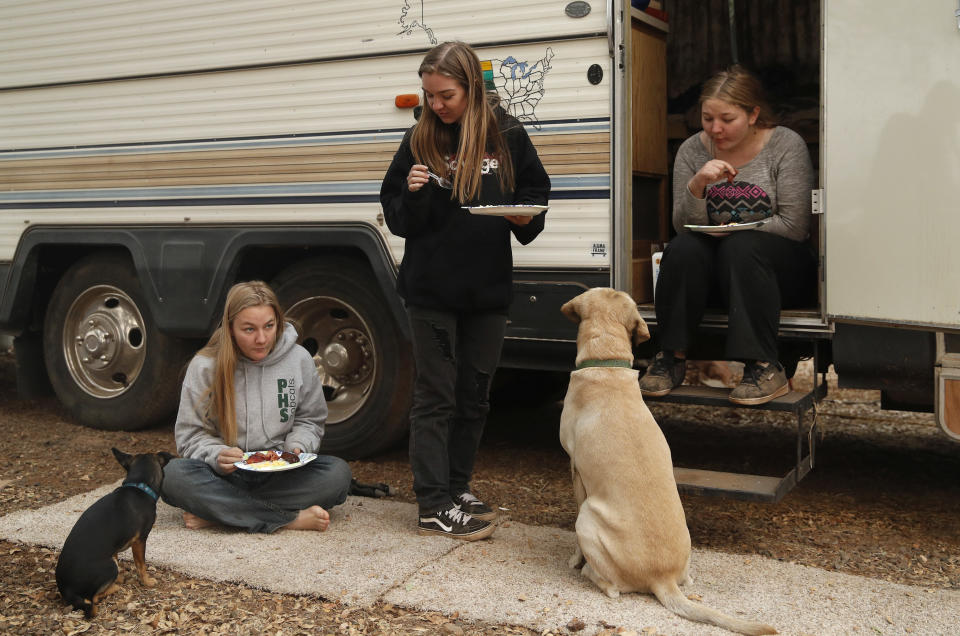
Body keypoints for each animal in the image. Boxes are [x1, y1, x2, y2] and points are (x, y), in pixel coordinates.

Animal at [560, 290, 776, 636]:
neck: (607, 362)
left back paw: (589, 573)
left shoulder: (575, 469)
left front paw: (574, 560)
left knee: (612, 587)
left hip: (588, 518)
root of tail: (661, 579)